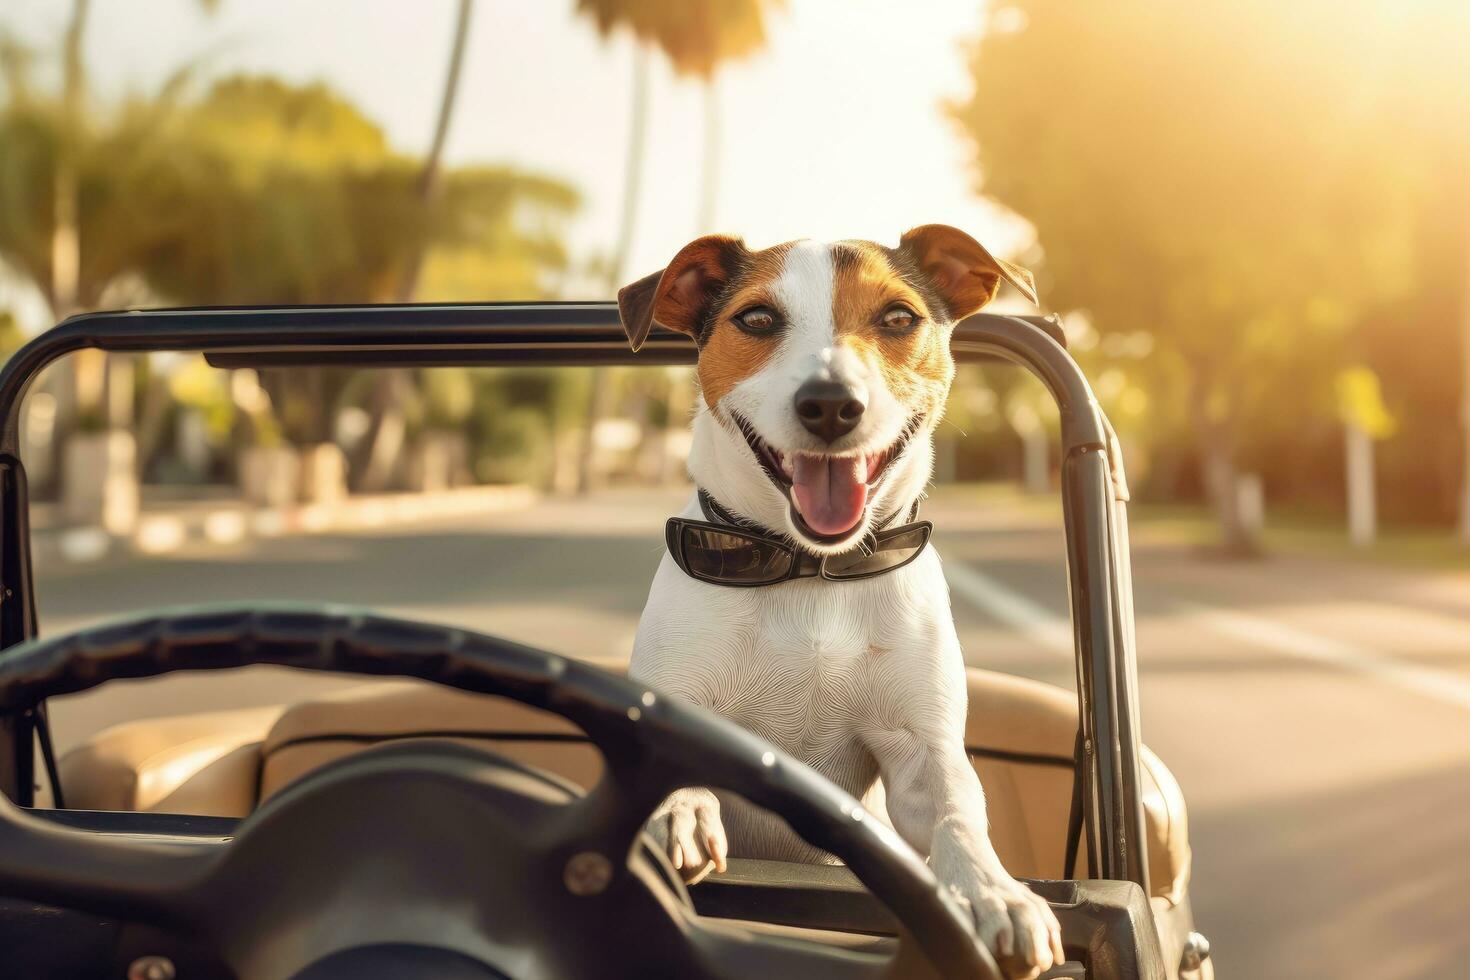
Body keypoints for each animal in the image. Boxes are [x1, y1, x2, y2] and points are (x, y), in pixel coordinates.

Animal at [617, 226, 1058, 975]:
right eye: (757, 319)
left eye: (899, 318)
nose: (830, 403)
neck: (809, 571)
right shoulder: (673, 704)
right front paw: (679, 811)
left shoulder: (922, 755)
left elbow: (958, 817)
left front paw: (995, 892)